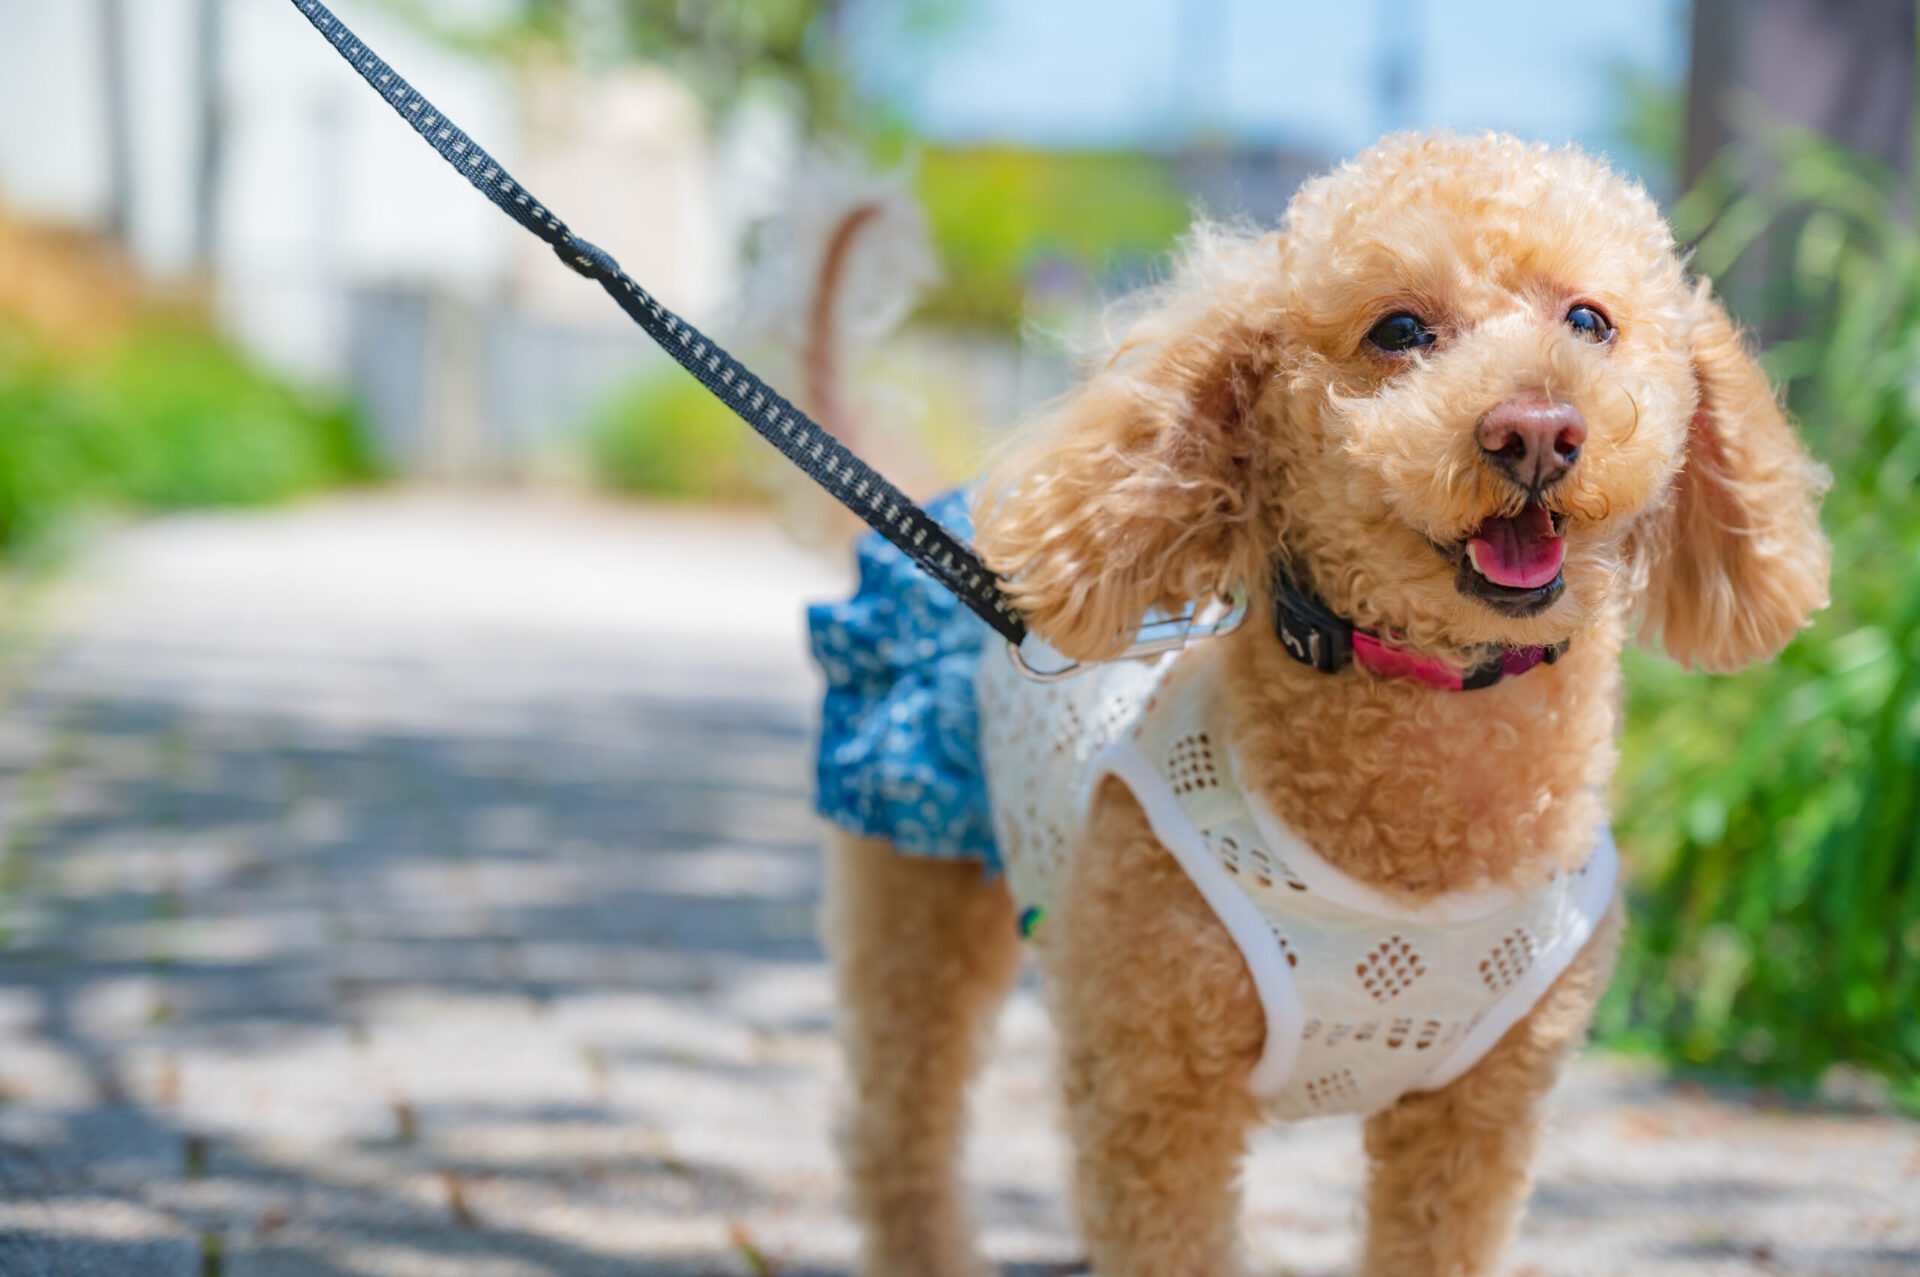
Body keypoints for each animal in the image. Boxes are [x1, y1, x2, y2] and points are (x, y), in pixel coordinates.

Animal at [806, 134, 1827, 1267]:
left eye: (1589, 322)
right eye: (1400, 330)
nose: (1537, 431)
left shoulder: (1481, 1112)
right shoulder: (1156, 1089)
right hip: (916, 882)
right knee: (898, 1130)